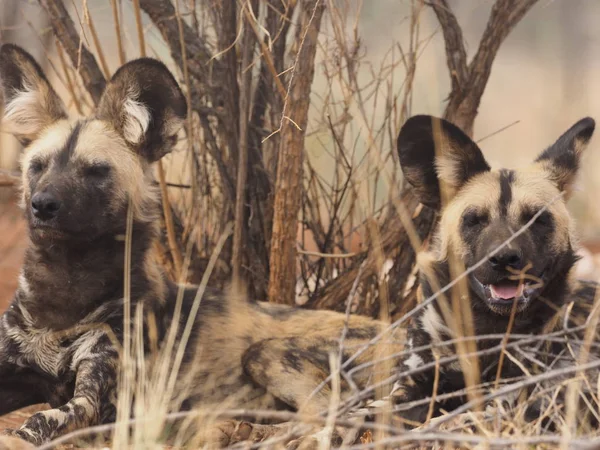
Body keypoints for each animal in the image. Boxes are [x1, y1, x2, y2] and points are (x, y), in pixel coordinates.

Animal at [0, 44, 404, 446]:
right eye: (38, 166)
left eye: (95, 171)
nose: (43, 205)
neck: (63, 293)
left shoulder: (92, 406)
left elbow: (39, 419)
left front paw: (18, 435)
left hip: (267, 354)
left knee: (340, 415)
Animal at [392, 114, 600, 428]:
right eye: (475, 220)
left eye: (537, 219)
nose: (503, 258)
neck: (486, 329)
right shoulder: (405, 394)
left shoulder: (503, 404)